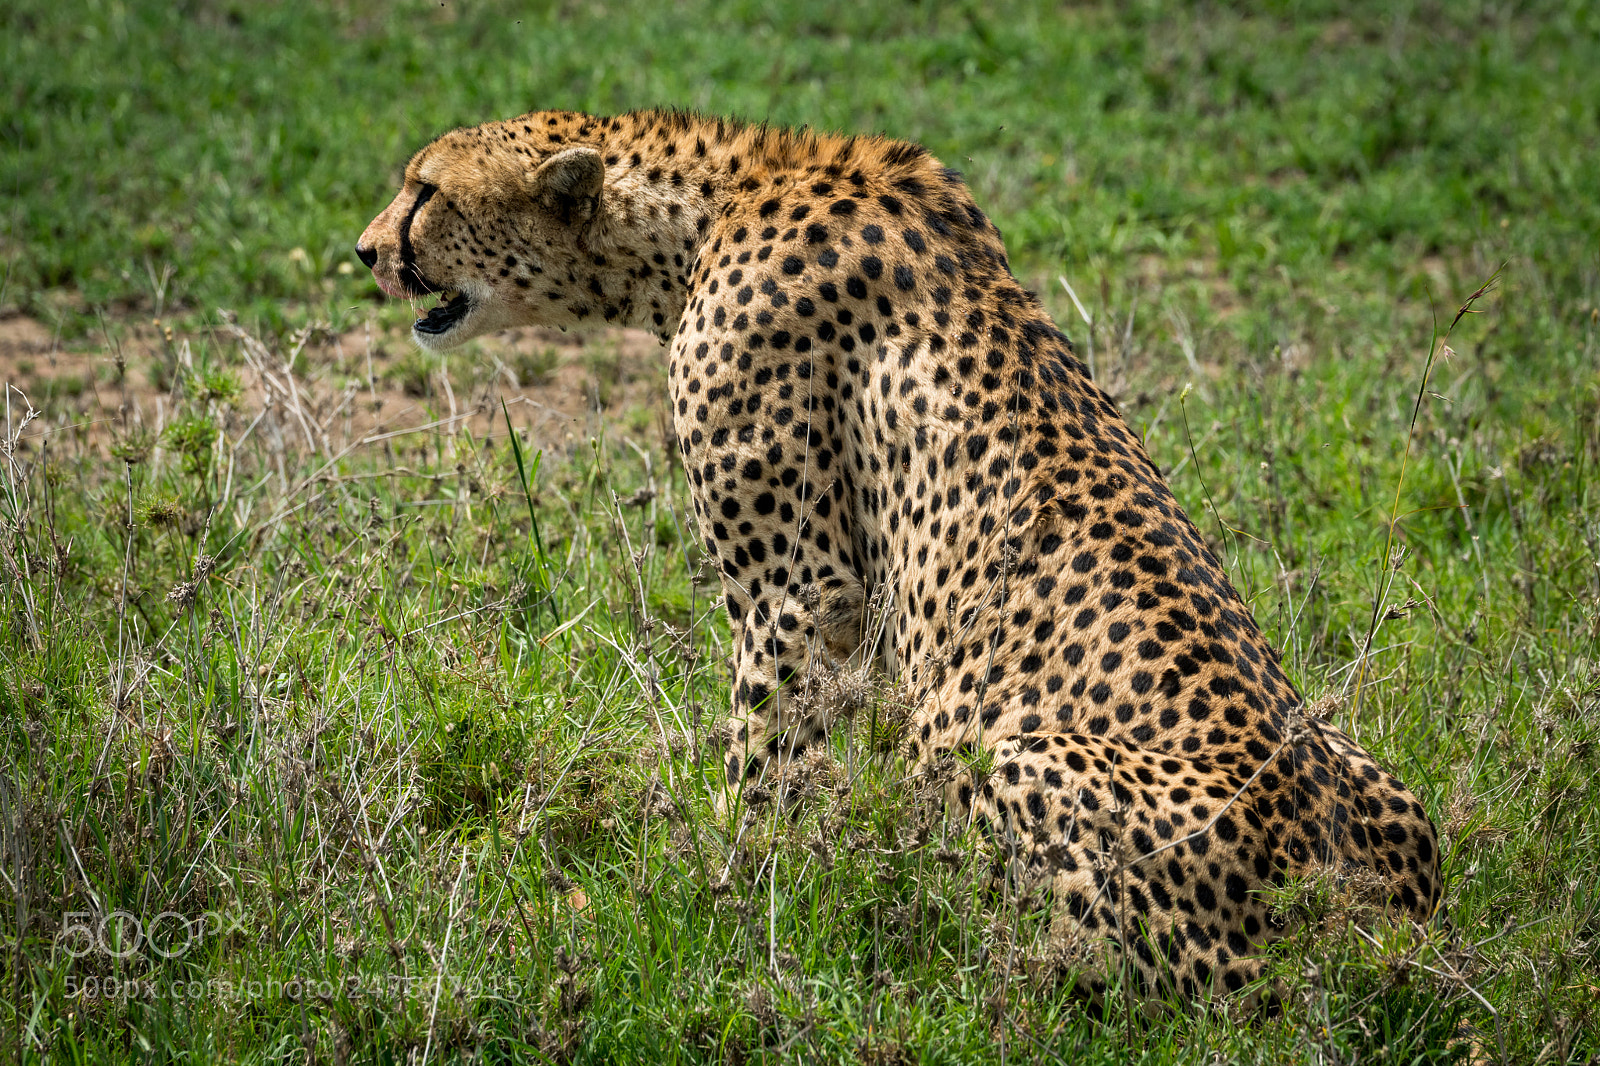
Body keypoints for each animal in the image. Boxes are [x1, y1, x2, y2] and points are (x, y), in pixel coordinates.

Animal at [357, 108, 1442, 1001]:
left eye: (426, 190)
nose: (363, 250)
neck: (709, 207)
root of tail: (1352, 922)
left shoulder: (796, 589)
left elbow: (761, 759)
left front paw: (723, 895)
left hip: (1013, 751)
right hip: (1383, 786)